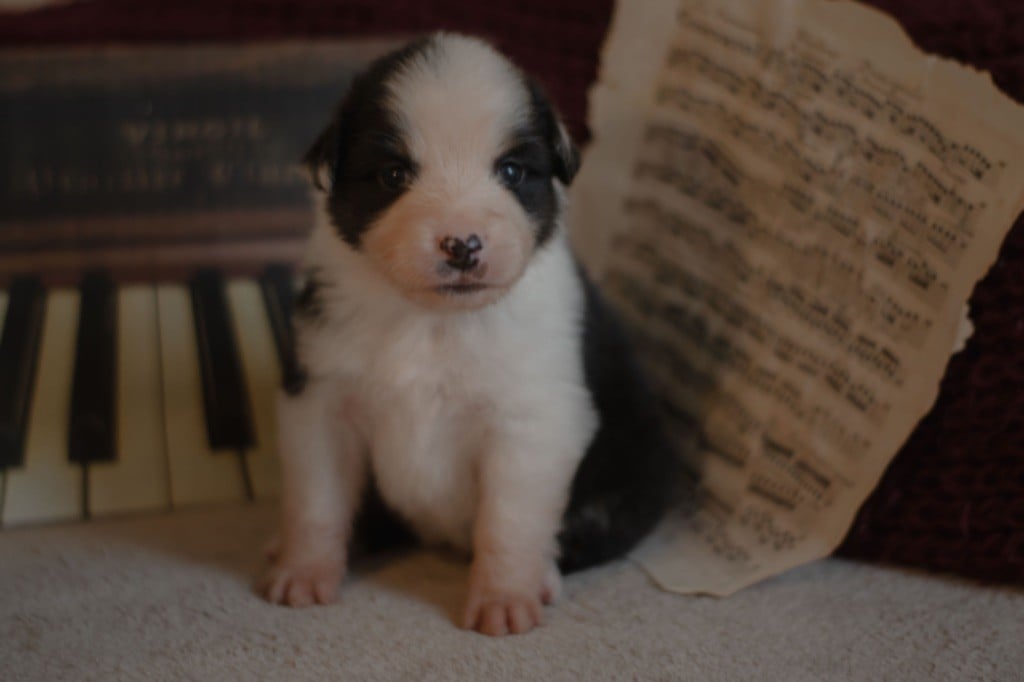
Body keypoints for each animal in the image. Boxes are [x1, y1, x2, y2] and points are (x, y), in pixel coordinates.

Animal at [261, 33, 677, 636]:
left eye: (511, 172)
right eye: (393, 175)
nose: (462, 245)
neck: (434, 321)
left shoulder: (530, 420)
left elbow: (509, 521)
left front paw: (504, 598)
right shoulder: (321, 396)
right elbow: (317, 500)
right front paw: (303, 571)